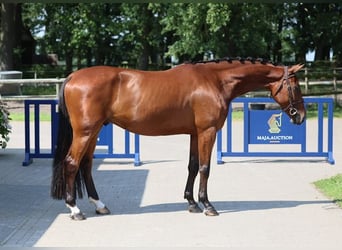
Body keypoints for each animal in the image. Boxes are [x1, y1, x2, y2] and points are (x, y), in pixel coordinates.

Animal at [50, 57, 304, 220]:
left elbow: (192, 166)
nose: (300, 116)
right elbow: (204, 168)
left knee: (85, 165)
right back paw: (75, 210)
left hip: (93, 133)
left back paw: (100, 205)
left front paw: (191, 203)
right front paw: (207, 205)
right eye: (295, 86)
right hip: (85, 132)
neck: (214, 80)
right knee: (71, 164)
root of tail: (72, 76)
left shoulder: (194, 133)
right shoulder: (207, 131)